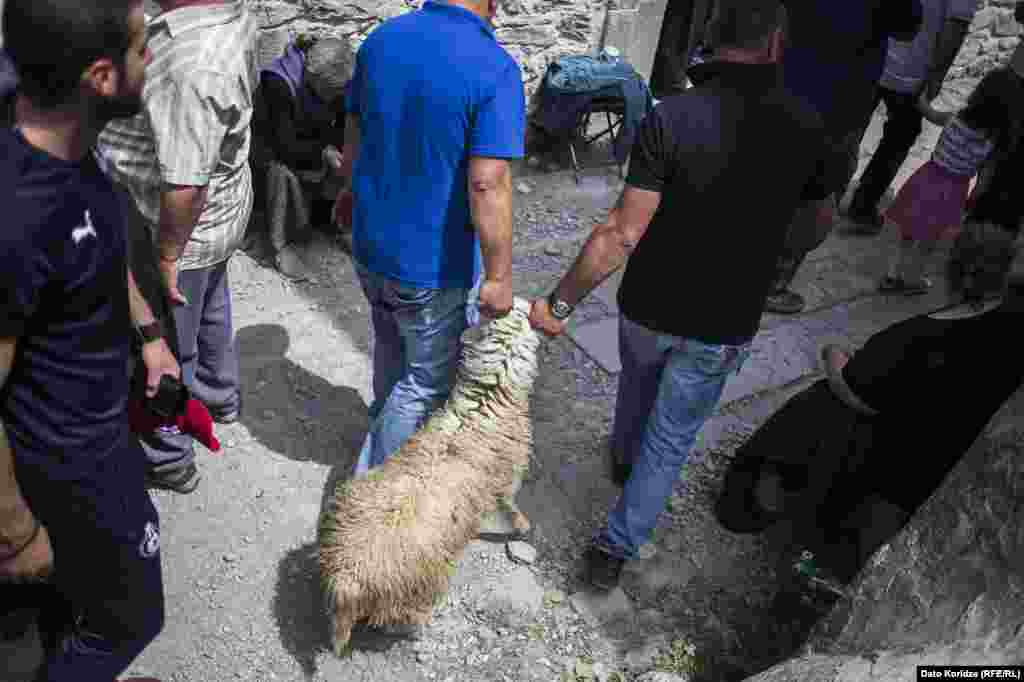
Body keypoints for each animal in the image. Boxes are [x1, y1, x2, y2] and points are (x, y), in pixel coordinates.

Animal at [318, 298, 541, 654]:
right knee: (401, 619)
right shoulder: (509, 473)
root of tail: (346, 578)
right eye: (520, 312)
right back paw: (416, 631)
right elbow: (510, 503)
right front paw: (522, 528)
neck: (487, 398)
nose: (529, 301)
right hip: (416, 589)